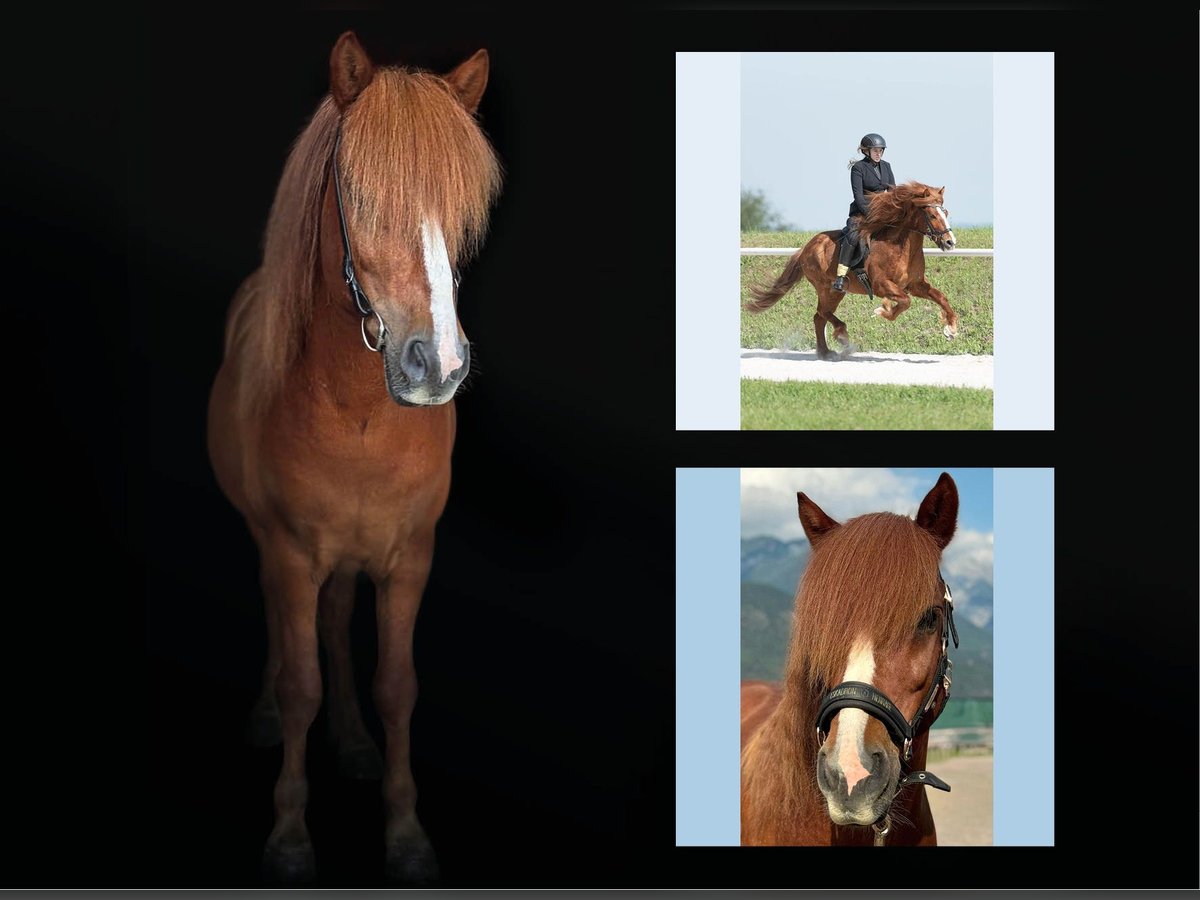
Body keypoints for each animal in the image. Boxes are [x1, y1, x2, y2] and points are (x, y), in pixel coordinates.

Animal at [205, 31, 501, 884]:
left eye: (462, 210)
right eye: (360, 196)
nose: (437, 364)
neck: (359, 418)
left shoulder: (409, 559)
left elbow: (396, 685)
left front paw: (404, 833)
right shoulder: (290, 554)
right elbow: (300, 680)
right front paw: (289, 837)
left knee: (337, 622)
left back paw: (355, 743)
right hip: (276, 550)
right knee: (287, 632)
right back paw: (269, 716)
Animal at [744, 182, 959, 360]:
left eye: (946, 213)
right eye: (932, 215)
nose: (950, 243)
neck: (899, 247)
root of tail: (806, 248)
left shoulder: (916, 285)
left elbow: (940, 297)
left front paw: (951, 328)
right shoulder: (882, 285)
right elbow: (905, 301)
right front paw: (883, 310)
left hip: (835, 291)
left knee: (820, 316)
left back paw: (826, 352)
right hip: (826, 287)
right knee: (822, 312)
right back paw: (842, 338)